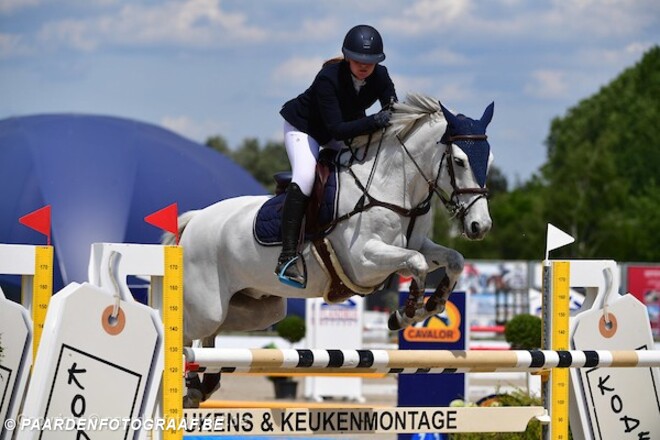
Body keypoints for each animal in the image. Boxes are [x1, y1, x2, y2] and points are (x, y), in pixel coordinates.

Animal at [163, 93, 495, 405]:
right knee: (185, 332)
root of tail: (195, 220)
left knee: (211, 336)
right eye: (459, 160)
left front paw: (430, 305)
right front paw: (407, 312)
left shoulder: (418, 245)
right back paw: (191, 386)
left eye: (489, 161)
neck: (392, 188)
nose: (480, 226)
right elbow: (417, 263)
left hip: (259, 309)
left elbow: (453, 259)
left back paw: (204, 385)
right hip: (208, 306)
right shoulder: (363, 262)